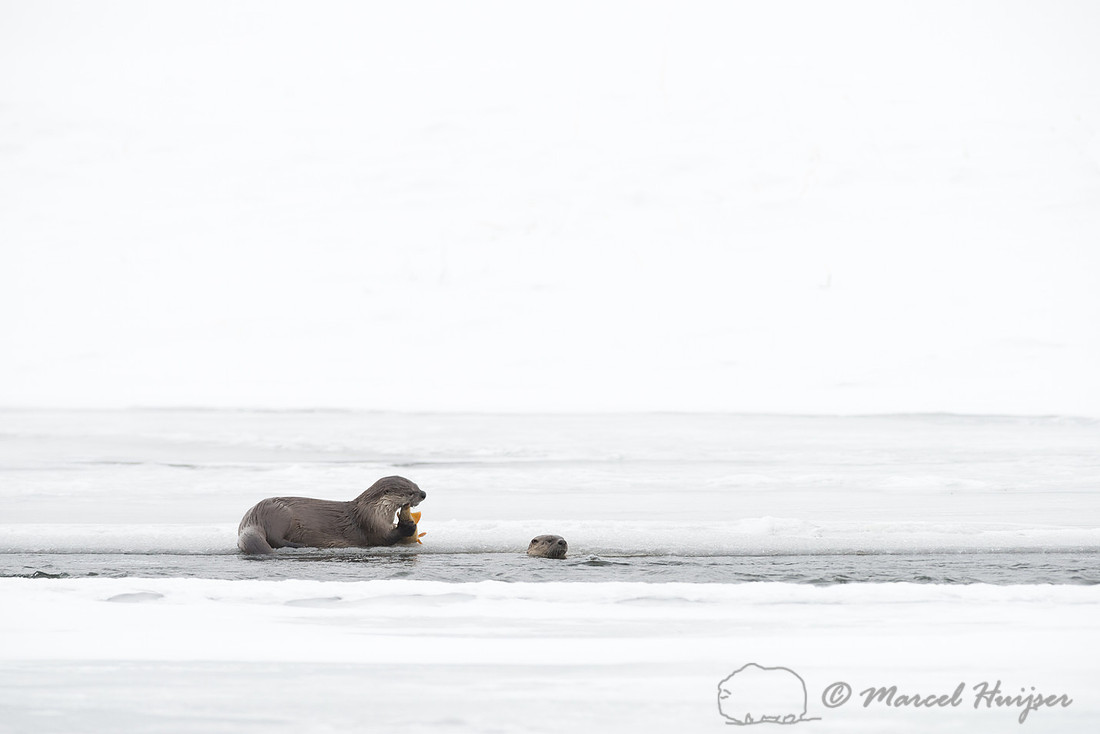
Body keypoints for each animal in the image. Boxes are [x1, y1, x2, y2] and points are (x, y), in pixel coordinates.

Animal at [237, 475, 426, 555]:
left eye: (417, 485)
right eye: (410, 492)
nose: (423, 493)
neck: (373, 511)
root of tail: (252, 517)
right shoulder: (370, 524)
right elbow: (383, 538)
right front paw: (407, 527)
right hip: (280, 514)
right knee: (275, 539)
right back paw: (299, 545)